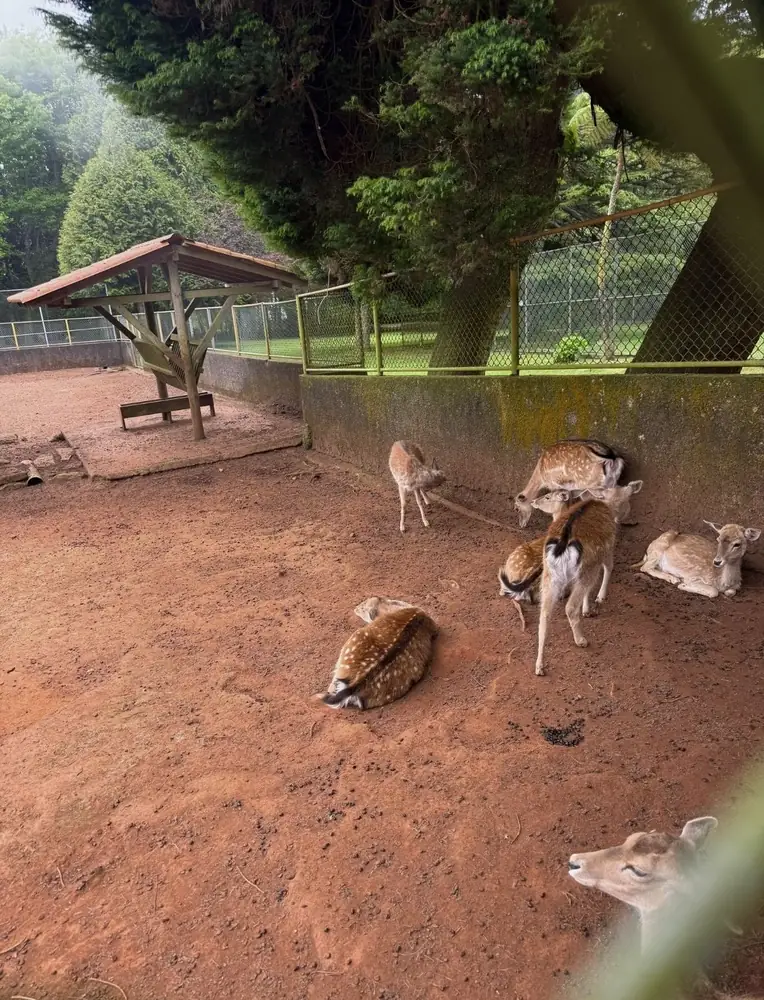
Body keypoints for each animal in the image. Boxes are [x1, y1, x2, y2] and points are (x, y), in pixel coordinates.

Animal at [534, 498, 617, 676]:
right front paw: (596, 601)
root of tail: (563, 544)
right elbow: (608, 568)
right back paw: (581, 640)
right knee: (571, 607)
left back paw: (539, 666)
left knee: (544, 614)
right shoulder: (606, 551)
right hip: (586, 568)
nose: (535, 502)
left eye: (547, 497)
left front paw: (587, 609)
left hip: (549, 576)